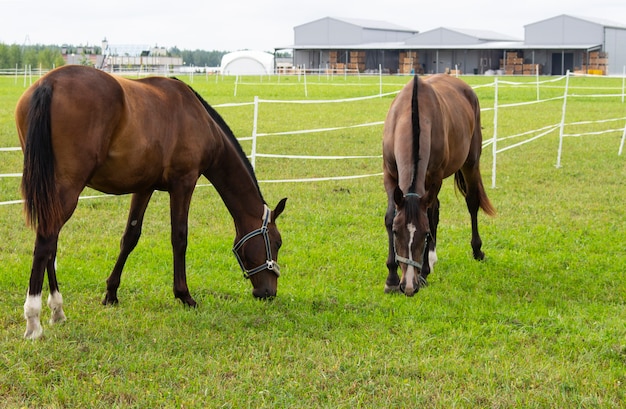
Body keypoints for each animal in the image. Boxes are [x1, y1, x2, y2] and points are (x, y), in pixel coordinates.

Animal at [14, 65, 286, 338]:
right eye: (277, 242)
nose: (268, 293)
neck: (198, 118)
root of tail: (49, 83)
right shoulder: (183, 183)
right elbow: (179, 237)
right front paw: (184, 295)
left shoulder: (144, 188)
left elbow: (130, 238)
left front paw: (111, 293)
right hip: (67, 189)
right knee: (46, 242)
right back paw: (34, 319)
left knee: (51, 243)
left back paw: (57, 310)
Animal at [380, 74, 492, 296]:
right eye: (396, 233)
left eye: (425, 234)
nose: (408, 286)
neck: (411, 115)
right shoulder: (389, 174)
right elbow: (390, 217)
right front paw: (391, 278)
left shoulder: (435, 177)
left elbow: (430, 218)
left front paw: (423, 273)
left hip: (471, 162)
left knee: (472, 202)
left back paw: (477, 250)